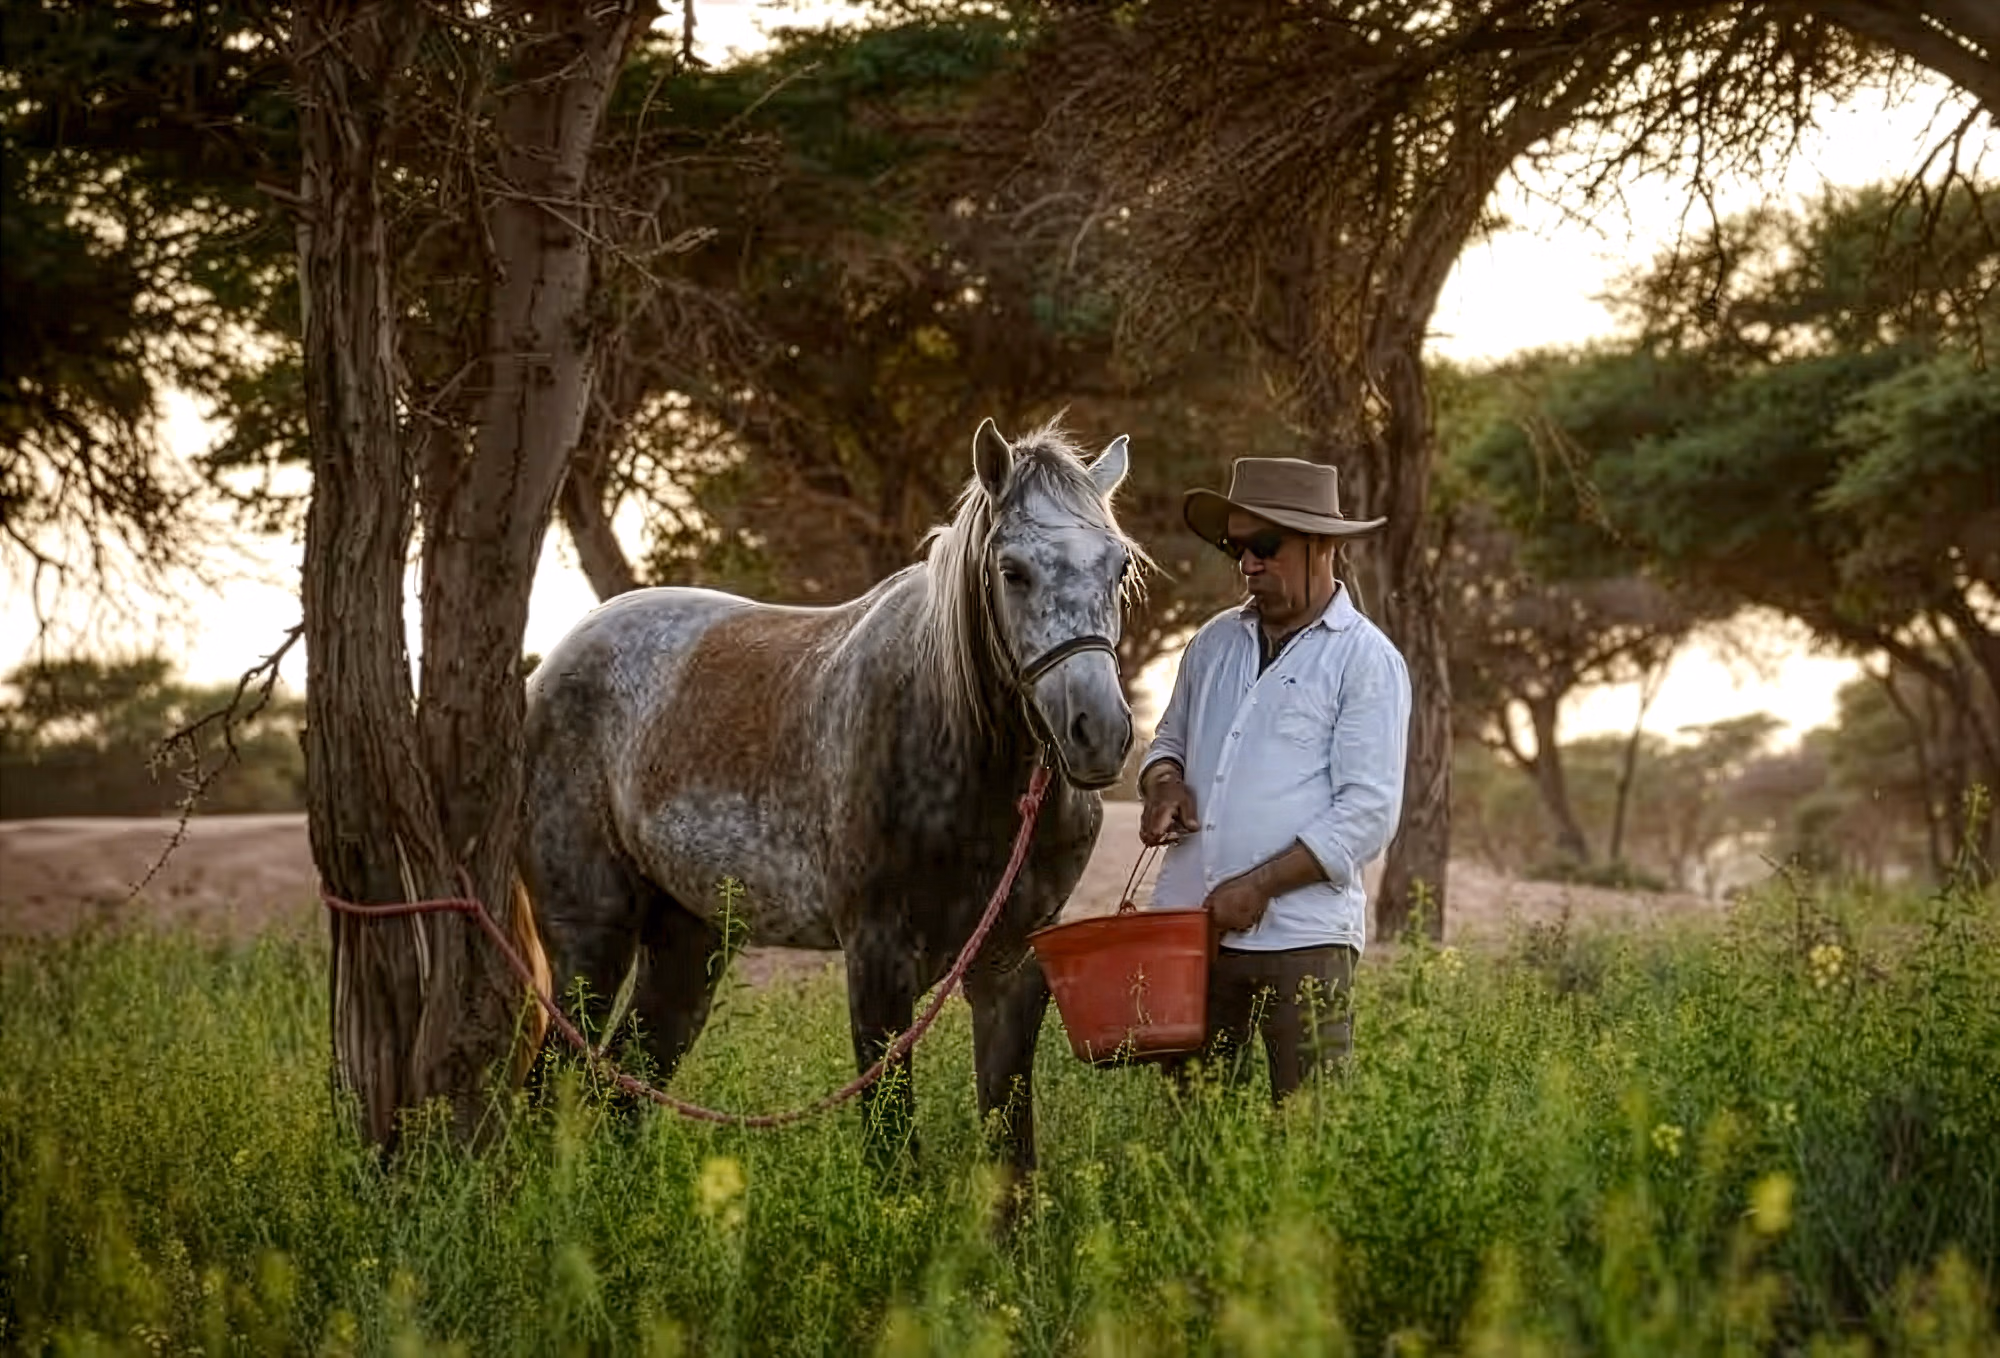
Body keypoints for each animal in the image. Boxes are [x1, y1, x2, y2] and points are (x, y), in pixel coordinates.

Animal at [517, 417, 1142, 1176]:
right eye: (1013, 571)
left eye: (1119, 567)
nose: (1098, 733)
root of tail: (553, 665)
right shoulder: (878, 961)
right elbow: (890, 1144)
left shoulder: (1010, 969)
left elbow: (1010, 1150)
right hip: (590, 941)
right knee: (550, 1086)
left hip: (689, 940)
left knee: (625, 1085)